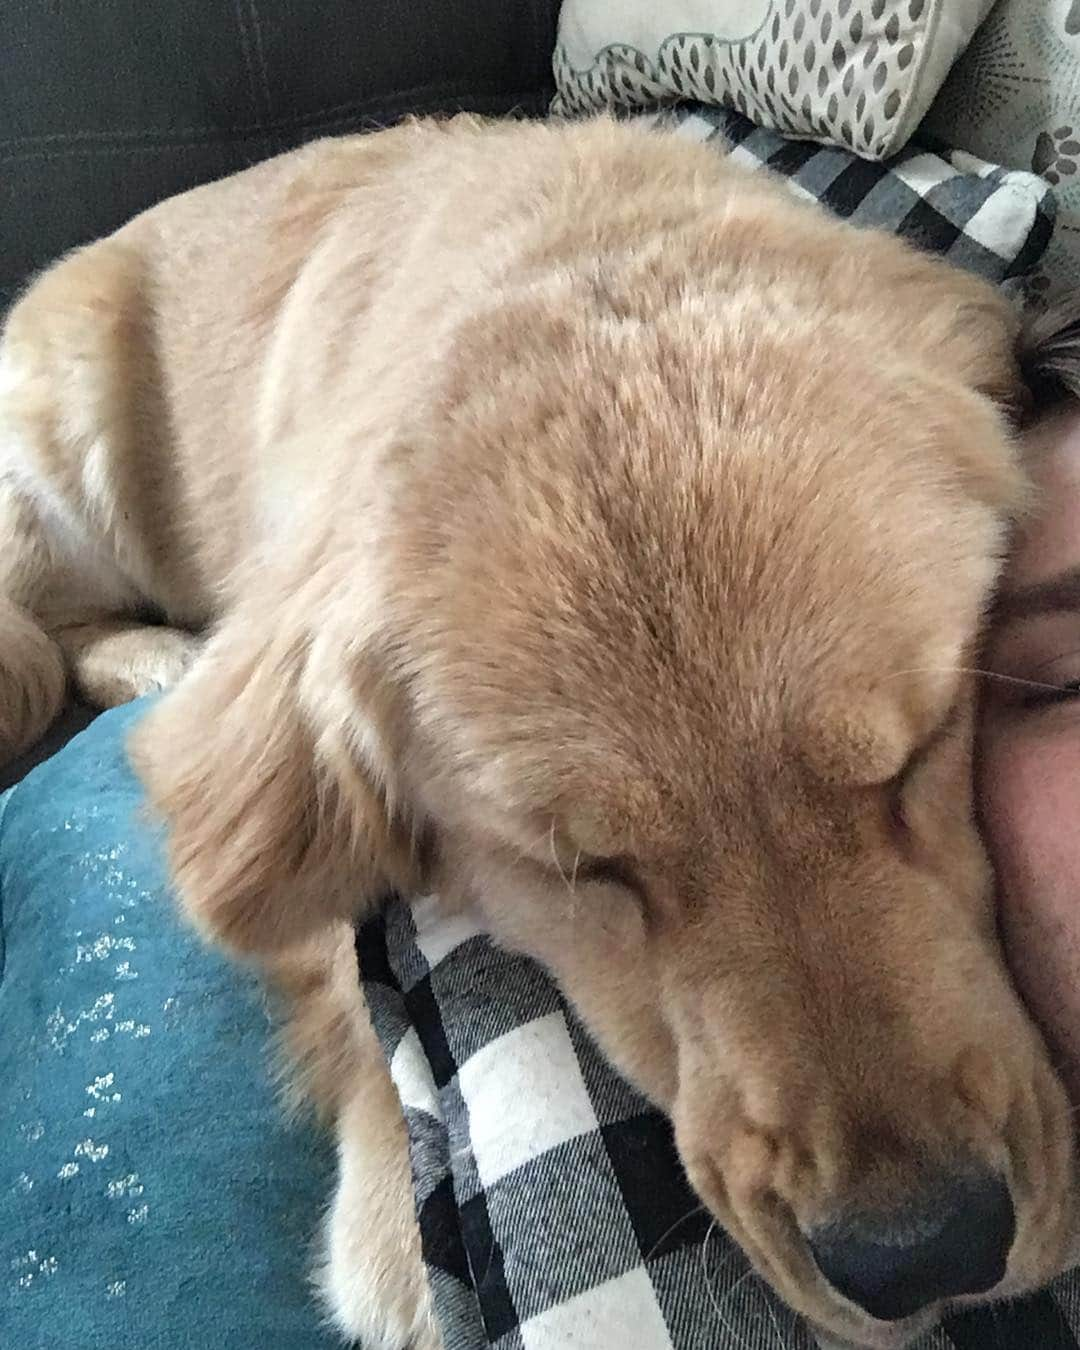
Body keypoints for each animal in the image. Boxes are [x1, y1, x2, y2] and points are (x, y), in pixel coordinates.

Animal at [0, 118, 1069, 1350]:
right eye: (587, 871)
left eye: (922, 751)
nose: (924, 1252)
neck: (580, 245)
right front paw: (395, 1225)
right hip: (69, 444)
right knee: (55, 633)